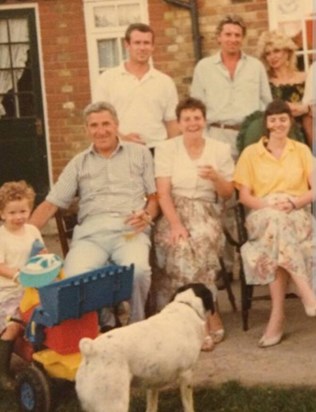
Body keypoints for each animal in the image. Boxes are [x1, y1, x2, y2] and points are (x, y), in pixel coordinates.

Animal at [76, 282, 215, 412]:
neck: (187, 305)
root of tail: (92, 349)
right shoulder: (186, 375)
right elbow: (188, 405)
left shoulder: (153, 383)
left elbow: (151, 406)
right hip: (114, 403)